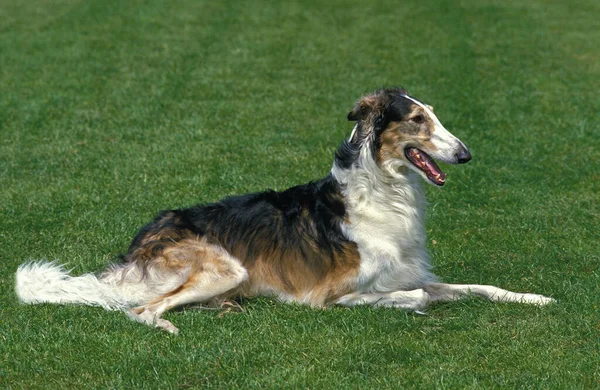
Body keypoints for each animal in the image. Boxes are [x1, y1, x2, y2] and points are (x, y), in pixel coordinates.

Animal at [15, 87, 552, 332]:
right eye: (419, 119)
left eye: (435, 116)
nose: (465, 154)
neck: (382, 196)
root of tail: (140, 241)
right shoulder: (332, 297)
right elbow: (416, 297)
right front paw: (413, 308)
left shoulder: (412, 273)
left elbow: (478, 287)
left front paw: (536, 298)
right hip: (225, 266)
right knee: (140, 309)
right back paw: (168, 323)